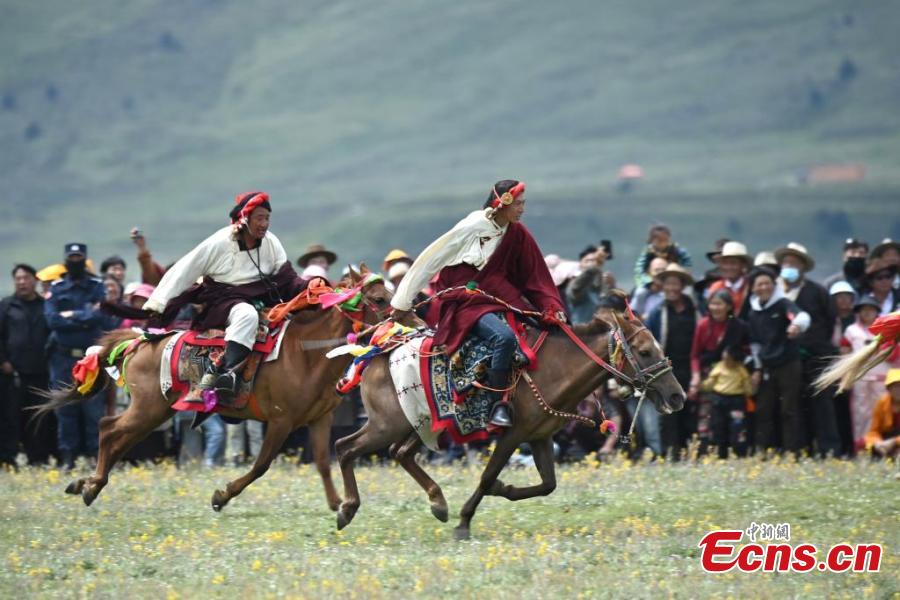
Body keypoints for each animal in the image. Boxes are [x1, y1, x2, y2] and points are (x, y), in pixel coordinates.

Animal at [38, 268, 390, 510]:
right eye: (378, 299)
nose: (400, 319)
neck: (305, 353)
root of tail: (140, 342)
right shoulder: (281, 421)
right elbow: (261, 465)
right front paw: (222, 495)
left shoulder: (319, 419)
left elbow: (322, 462)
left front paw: (338, 505)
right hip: (147, 408)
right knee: (108, 428)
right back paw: (90, 485)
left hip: (155, 412)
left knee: (117, 437)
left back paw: (87, 484)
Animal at [334, 304, 684, 540]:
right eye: (644, 351)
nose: (677, 396)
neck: (553, 368)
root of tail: (376, 351)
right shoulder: (512, 434)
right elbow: (488, 476)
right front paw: (464, 522)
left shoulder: (540, 436)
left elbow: (547, 485)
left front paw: (504, 489)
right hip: (386, 424)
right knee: (345, 447)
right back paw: (347, 509)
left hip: (420, 423)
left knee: (399, 453)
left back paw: (438, 502)